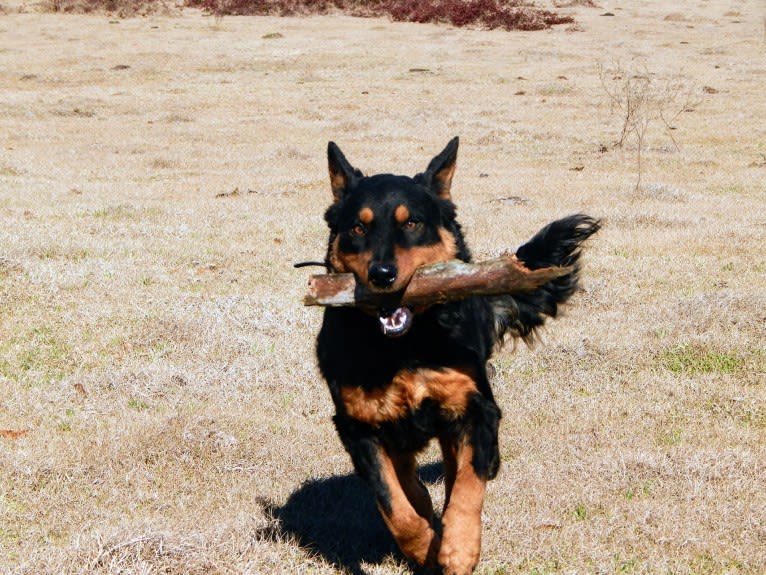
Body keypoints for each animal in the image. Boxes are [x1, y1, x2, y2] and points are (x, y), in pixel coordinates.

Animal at [316, 137, 604, 572]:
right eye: (358, 228)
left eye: (412, 223)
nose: (381, 275)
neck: (404, 346)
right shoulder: (358, 427)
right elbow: (393, 505)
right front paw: (424, 545)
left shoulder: (475, 409)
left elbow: (468, 484)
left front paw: (459, 547)